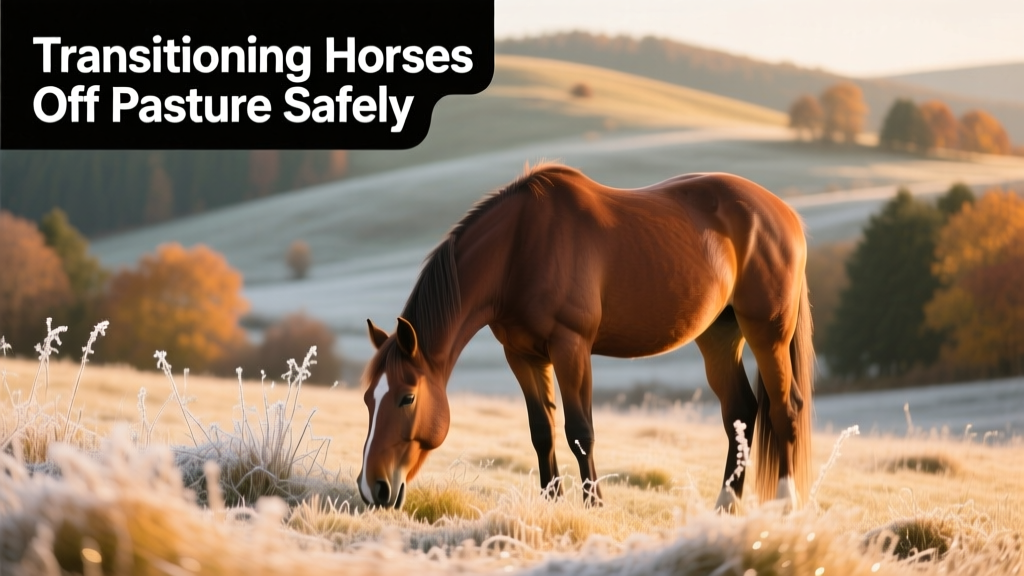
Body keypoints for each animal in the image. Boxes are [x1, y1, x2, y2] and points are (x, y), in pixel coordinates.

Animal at [357, 163, 814, 513]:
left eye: (407, 397)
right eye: (367, 399)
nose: (373, 487)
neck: (519, 248)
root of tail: (785, 214)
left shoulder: (571, 347)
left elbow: (581, 432)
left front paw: (593, 507)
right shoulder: (521, 354)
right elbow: (541, 431)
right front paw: (551, 506)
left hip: (768, 333)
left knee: (785, 408)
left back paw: (785, 505)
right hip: (718, 335)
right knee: (740, 411)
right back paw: (725, 507)